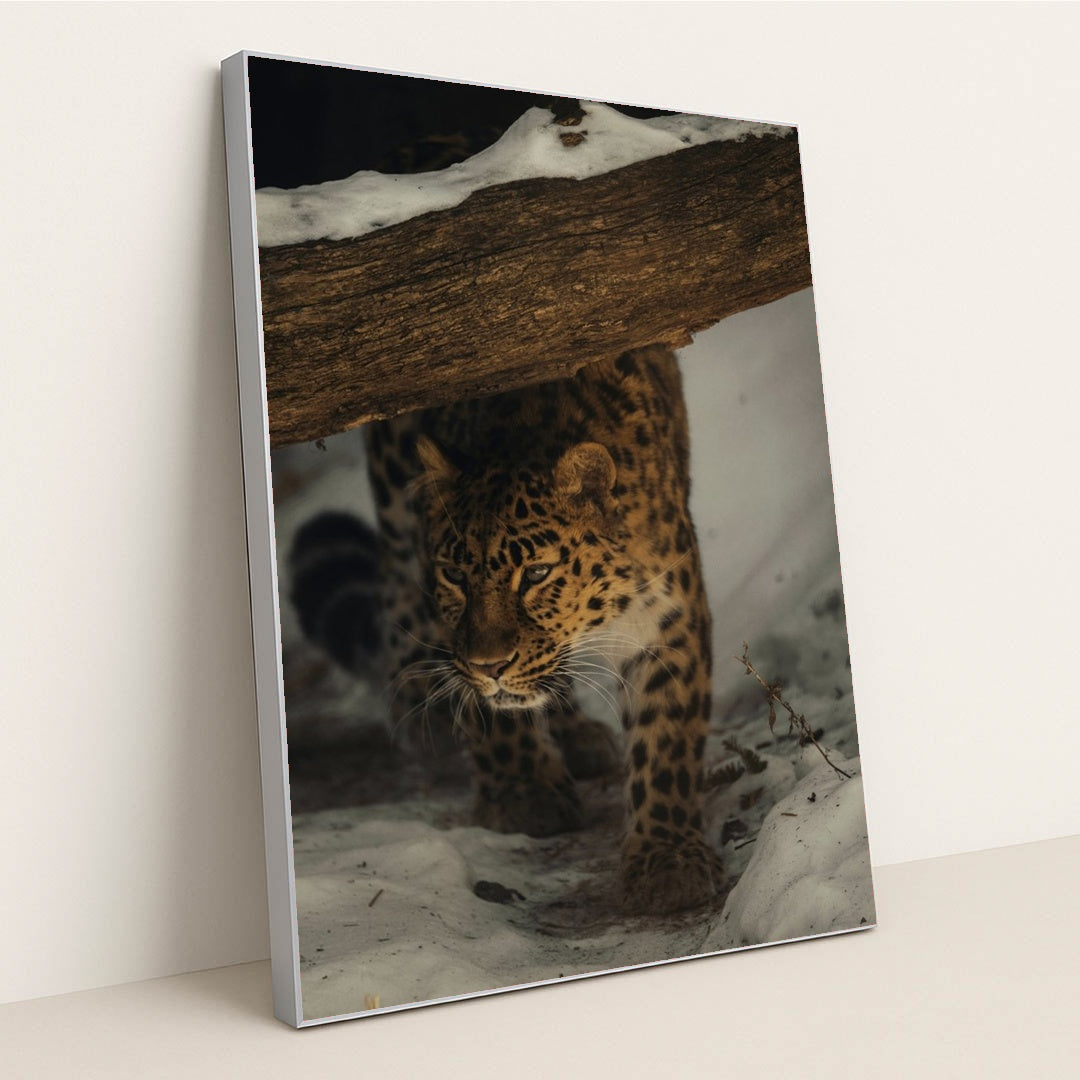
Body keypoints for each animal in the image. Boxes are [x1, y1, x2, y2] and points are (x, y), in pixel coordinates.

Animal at [295, 345, 719, 915]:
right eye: (455, 576)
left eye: (537, 574)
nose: (490, 665)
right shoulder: (450, 626)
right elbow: (488, 712)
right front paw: (525, 794)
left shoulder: (667, 615)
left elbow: (667, 738)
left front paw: (668, 860)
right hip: (393, 482)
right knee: (394, 570)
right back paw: (420, 702)